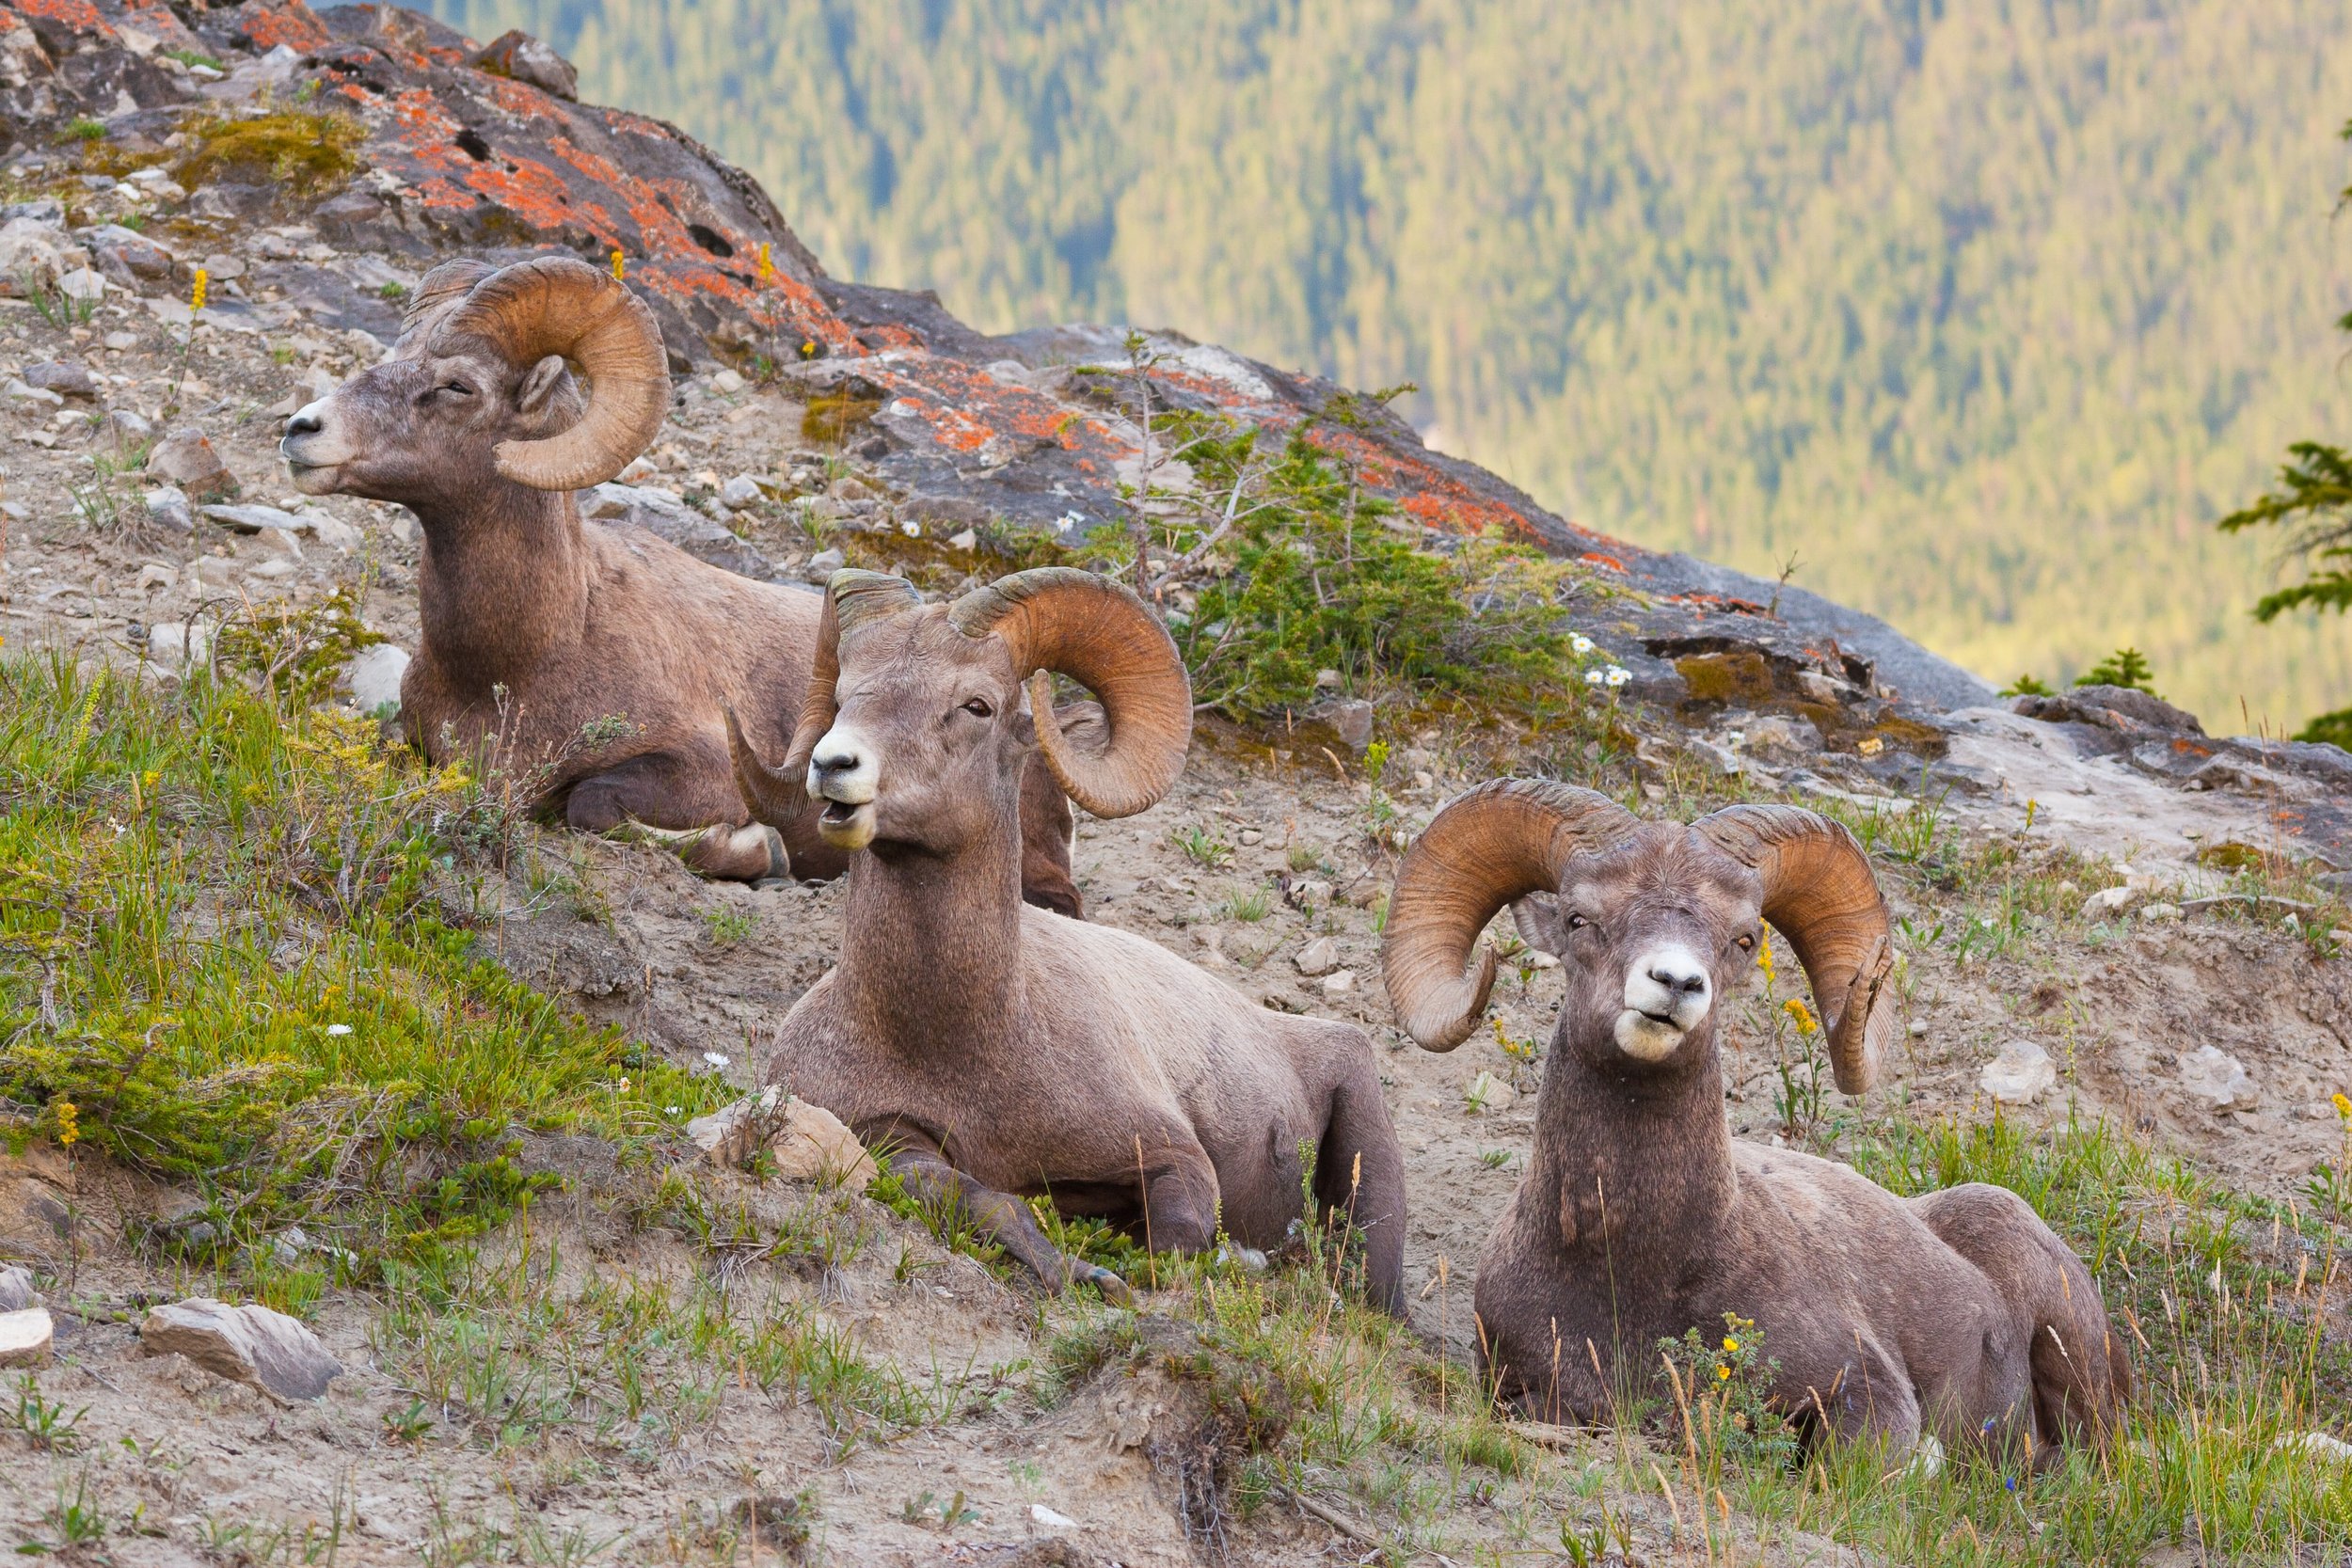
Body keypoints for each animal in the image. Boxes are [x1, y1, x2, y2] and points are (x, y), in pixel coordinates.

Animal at [282, 256, 1082, 911]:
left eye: (456, 385)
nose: (300, 430)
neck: (524, 656)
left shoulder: (697, 768)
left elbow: (591, 803)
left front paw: (758, 850)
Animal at [724, 563, 1402, 1316]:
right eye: (844, 696)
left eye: (977, 706)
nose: (835, 766)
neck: (960, 1043)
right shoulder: (888, 1140)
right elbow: (990, 1203)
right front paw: (1080, 1273)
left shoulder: (1173, 1156)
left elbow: (1178, 1246)